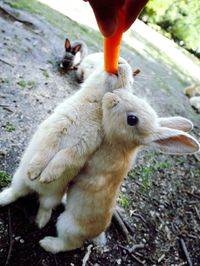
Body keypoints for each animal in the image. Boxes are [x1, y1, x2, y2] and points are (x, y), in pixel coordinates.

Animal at [0, 58, 134, 229]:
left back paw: (41, 222)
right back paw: (6, 197)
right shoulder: (57, 129)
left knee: (44, 206)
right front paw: (35, 172)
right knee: (17, 192)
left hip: (52, 197)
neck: (96, 104)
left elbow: (63, 157)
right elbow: (47, 149)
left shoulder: (82, 147)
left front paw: (47, 176)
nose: (121, 62)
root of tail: (36, 191)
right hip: (18, 179)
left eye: (131, 81)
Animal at [39, 85, 198, 254]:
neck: (120, 145)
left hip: (67, 225)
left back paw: (47, 243)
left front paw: (46, 175)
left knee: (71, 244)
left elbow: (68, 158)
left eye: (132, 119)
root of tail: (95, 234)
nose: (113, 94)